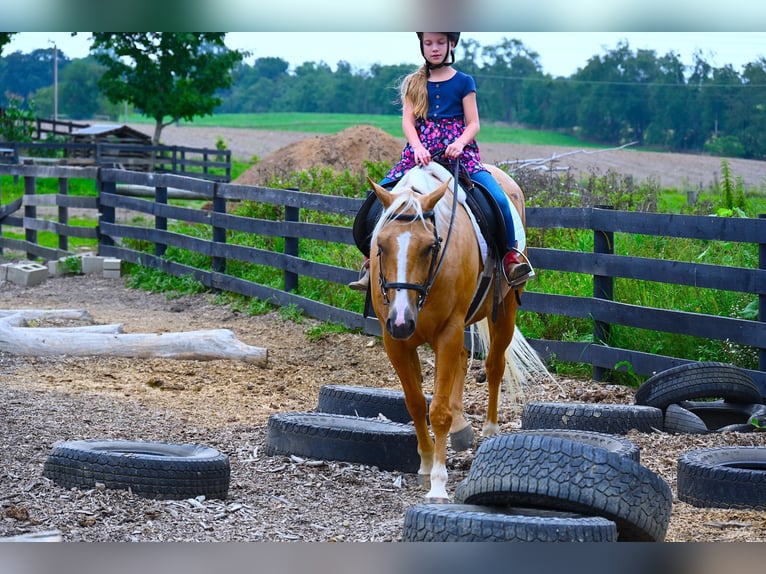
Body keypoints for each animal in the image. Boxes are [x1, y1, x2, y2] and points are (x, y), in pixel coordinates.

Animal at [368, 162, 536, 504]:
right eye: (380, 245)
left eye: (429, 247)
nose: (402, 320)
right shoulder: (394, 340)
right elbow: (416, 403)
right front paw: (425, 463)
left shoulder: (447, 331)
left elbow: (439, 411)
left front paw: (438, 483)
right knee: (461, 359)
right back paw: (462, 429)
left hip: (505, 310)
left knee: (494, 366)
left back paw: (489, 431)